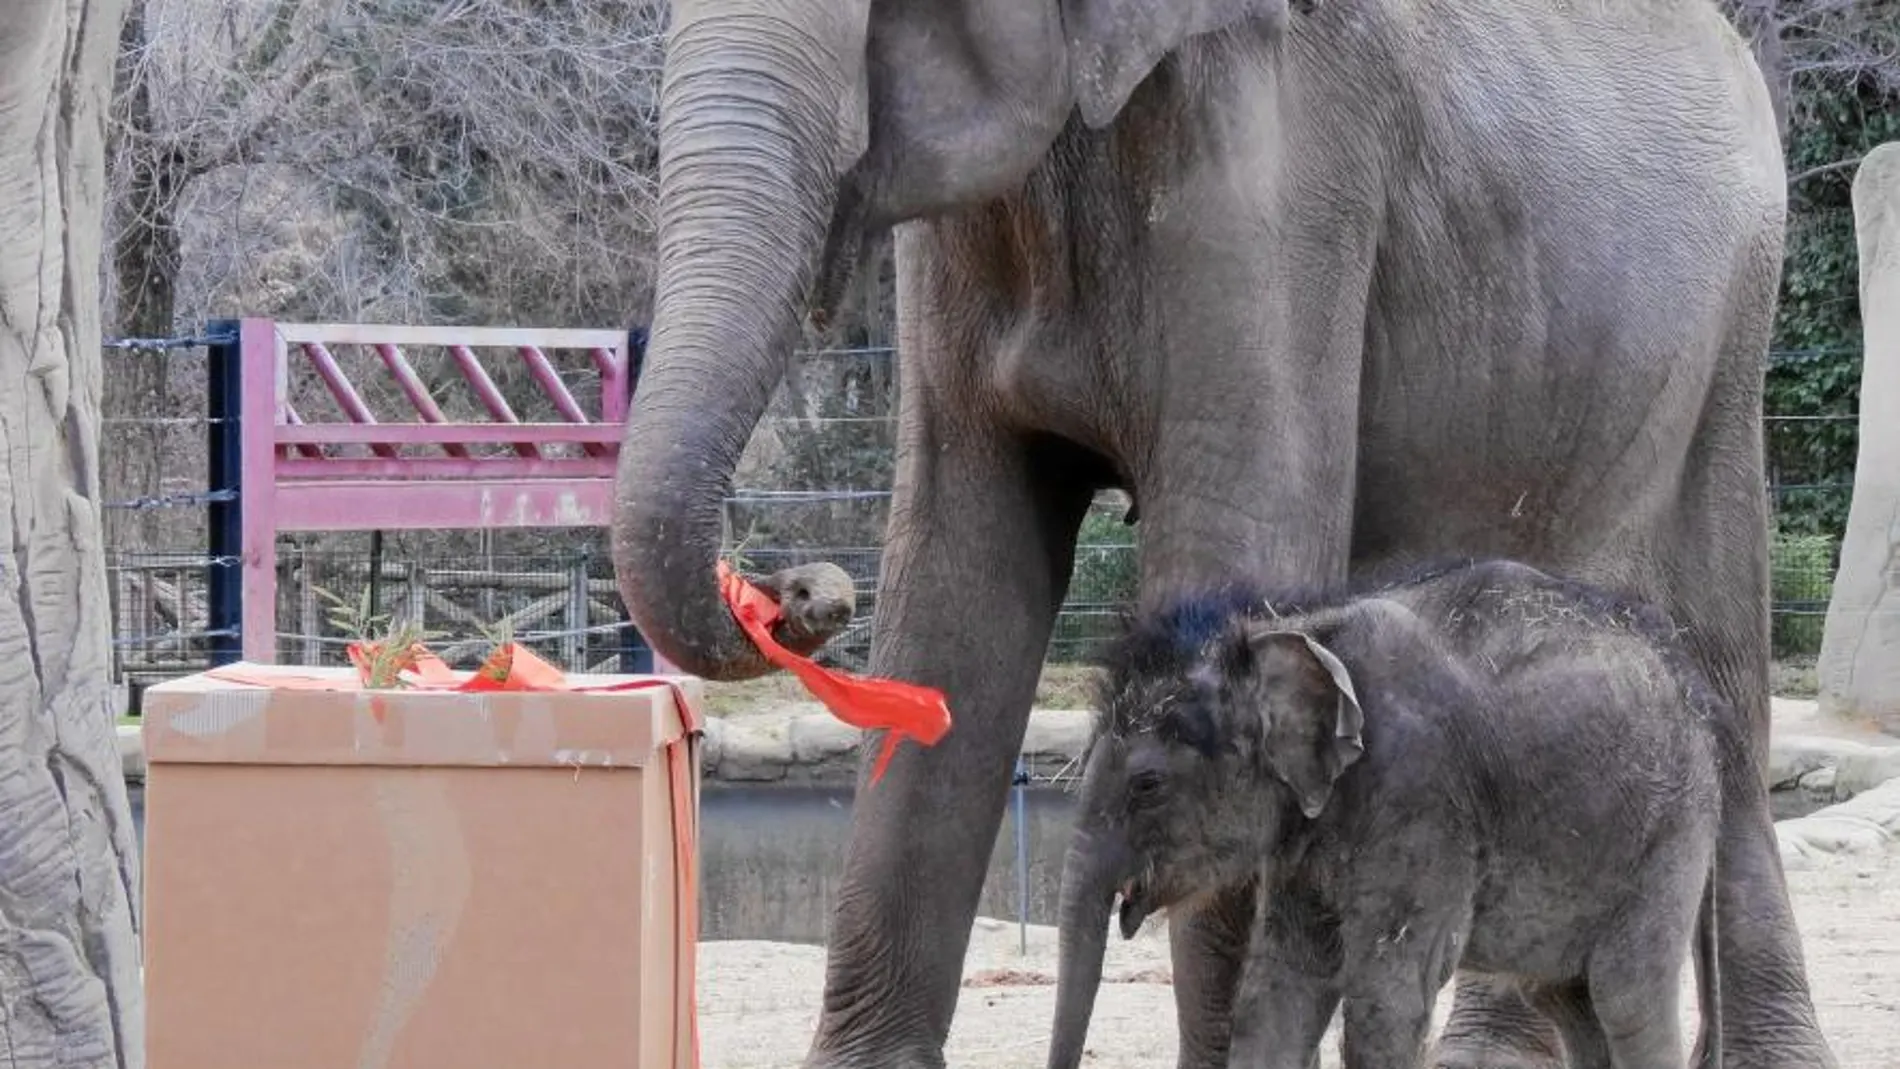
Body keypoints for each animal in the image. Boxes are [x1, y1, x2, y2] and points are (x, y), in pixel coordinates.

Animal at [1048, 562, 1740, 1069]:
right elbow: (1279, 989)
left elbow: (1386, 1000)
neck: (1289, 624)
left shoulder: (1421, 798)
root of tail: (1701, 697)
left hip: (1669, 832)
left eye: (1147, 784)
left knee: (1626, 995)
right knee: (1568, 999)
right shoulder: (1306, 833)